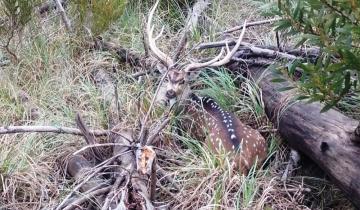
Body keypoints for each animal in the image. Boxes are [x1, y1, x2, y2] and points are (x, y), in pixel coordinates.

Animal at [146, 0, 268, 174]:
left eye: (183, 81)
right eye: (167, 77)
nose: (169, 92)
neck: (188, 104)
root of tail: (241, 160)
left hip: (208, 147)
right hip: (260, 139)